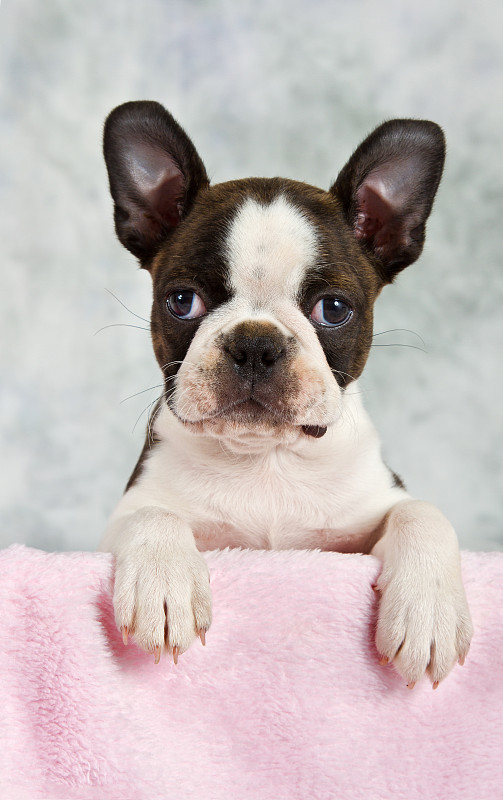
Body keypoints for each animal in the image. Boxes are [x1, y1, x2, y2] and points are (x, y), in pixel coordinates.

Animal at [101, 100, 472, 688]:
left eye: (334, 309)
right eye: (182, 301)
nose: (255, 343)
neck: (266, 458)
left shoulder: (370, 511)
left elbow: (422, 513)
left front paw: (428, 611)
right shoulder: (123, 514)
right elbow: (152, 515)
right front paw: (164, 585)